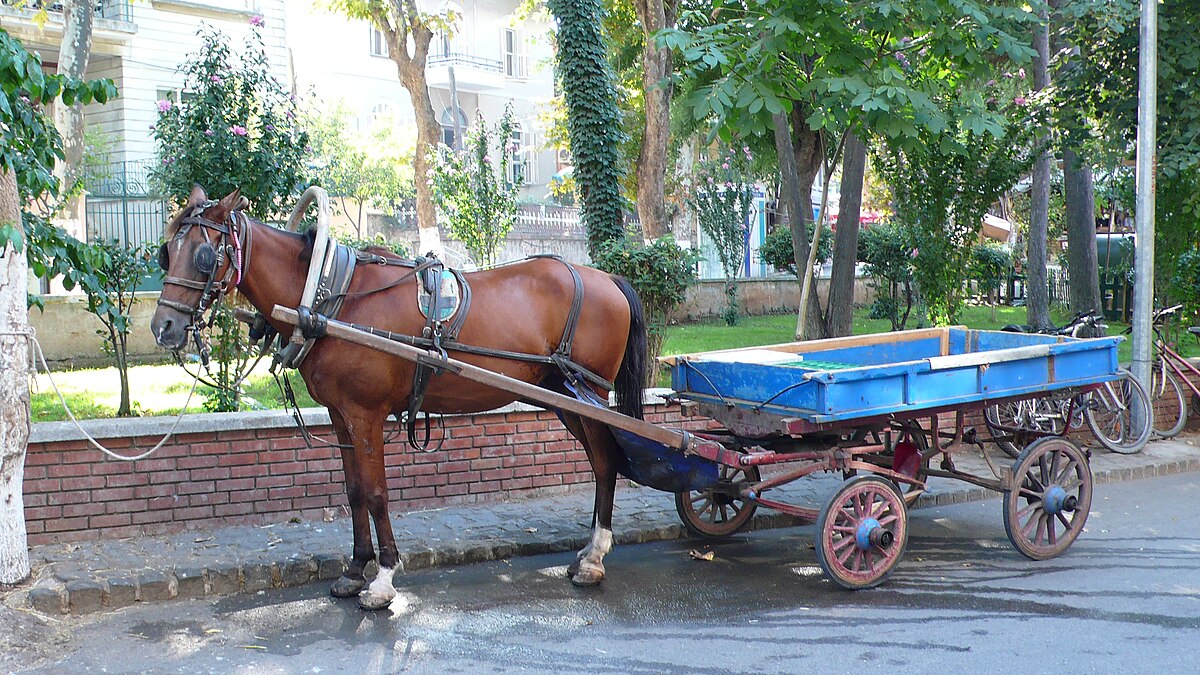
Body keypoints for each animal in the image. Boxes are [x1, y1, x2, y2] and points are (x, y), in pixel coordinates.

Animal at [152, 186, 648, 607]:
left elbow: (376, 494)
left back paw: (594, 558)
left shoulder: (366, 414)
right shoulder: (341, 414)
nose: (164, 327)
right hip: (563, 395)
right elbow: (353, 491)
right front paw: (354, 570)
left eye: (202, 256)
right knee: (601, 460)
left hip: (589, 392)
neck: (331, 296)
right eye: (166, 253)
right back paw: (588, 549)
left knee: (606, 461)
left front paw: (383, 579)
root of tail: (607, 278)